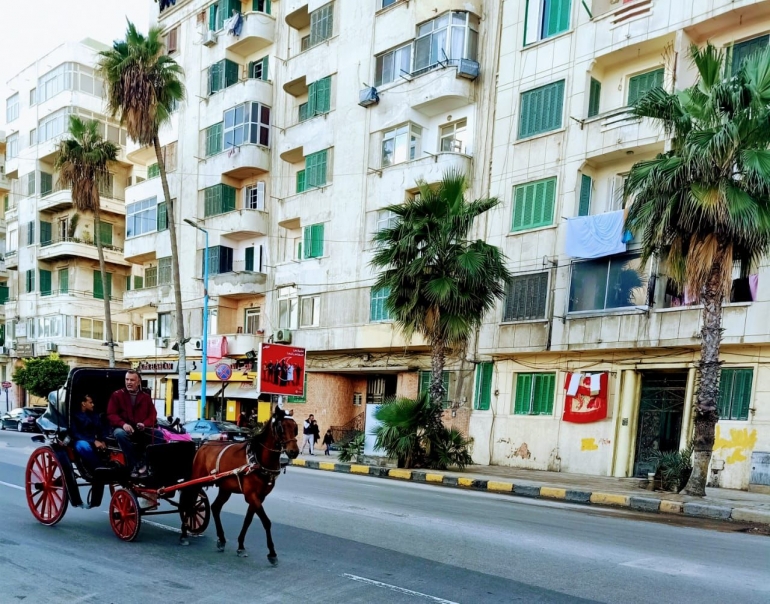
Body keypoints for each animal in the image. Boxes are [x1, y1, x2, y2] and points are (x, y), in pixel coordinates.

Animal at [178, 416, 298, 560]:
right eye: (281, 428)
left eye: (295, 428)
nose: (294, 451)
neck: (257, 459)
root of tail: (203, 445)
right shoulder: (251, 495)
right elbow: (266, 521)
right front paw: (272, 552)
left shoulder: (259, 497)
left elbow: (248, 520)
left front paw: (241, 546)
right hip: (197, 481)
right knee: (190, 504)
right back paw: (184, 534)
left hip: (225, 488)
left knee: (215, 507)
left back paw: (221, 539)